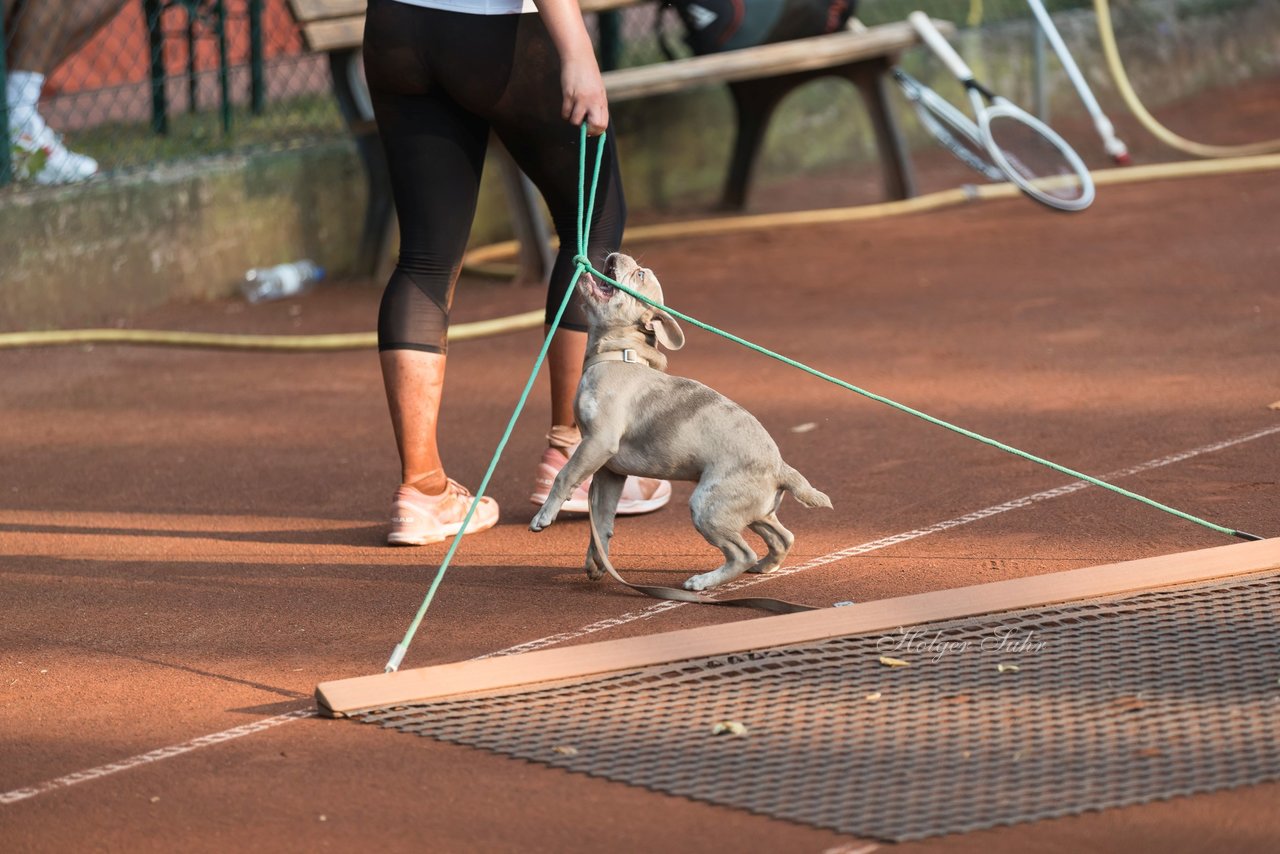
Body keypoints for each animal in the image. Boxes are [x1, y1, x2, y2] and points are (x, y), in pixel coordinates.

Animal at [527, 250, 834, 591]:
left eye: (639, 275)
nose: (616, 253)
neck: (620, 354)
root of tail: (781, 468)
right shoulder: (609, 471)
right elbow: (602, 520)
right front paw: (597, 562)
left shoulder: (598, 444)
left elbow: (564, 476)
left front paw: (544, 516)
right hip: (753, 513)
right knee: (782, 537)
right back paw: (765, 567)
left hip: (706, 507)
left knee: (742, 553)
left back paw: (702, 582)